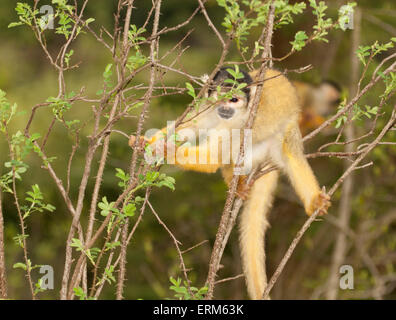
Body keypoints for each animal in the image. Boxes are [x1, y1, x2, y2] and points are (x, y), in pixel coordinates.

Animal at [130, 66, 332, 298]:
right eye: (222, 98)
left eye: (234, 99)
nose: (225, 109)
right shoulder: (209, 108)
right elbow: (188, 127)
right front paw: (145, 142)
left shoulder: (244, 124)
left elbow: (213, 157)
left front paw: (166, 151)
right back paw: (236, 182)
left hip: (280, 135)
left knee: (289, 151)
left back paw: (313, 200)